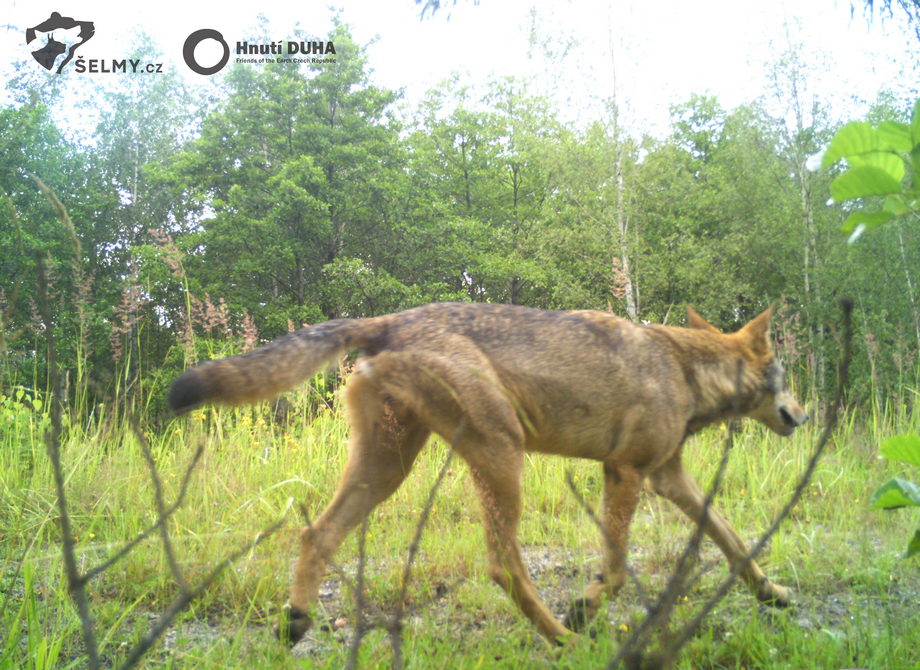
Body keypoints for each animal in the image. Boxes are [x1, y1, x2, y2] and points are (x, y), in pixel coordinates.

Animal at [171, 304, 804, 644]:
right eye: (783, 374)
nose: (801, 414)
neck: (684, 368)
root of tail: (390, 319)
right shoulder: (624, 471)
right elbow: (619, 569)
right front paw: (585, 608)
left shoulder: (668, 478)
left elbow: (734, 542)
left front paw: (773, 594)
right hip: (503, 455)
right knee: (504, 567)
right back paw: (564, 639)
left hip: (389, 470)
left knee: (314, 534)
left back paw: (296, 623)